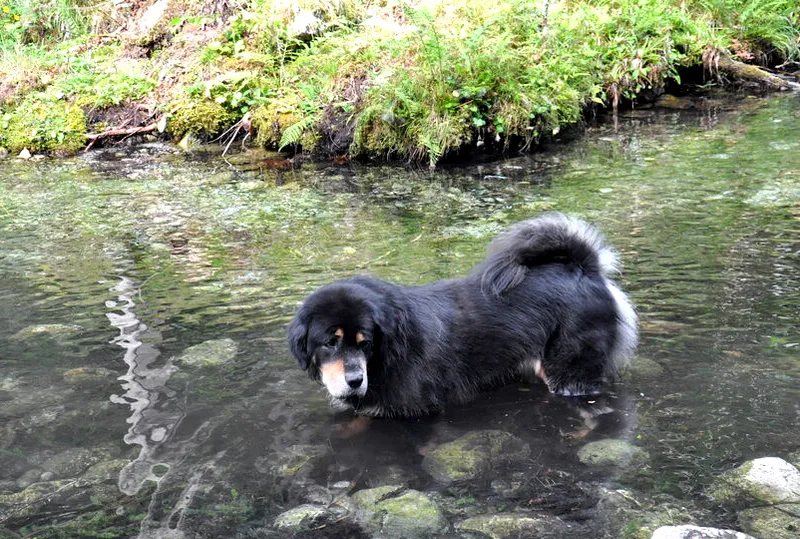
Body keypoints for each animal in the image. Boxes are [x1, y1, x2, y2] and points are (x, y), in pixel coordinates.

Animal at [287, 213, 638, 417]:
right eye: (329, 343)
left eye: (365, 343)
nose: (355, 380)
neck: (391, 352)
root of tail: (587, 268)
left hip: (571, 373)